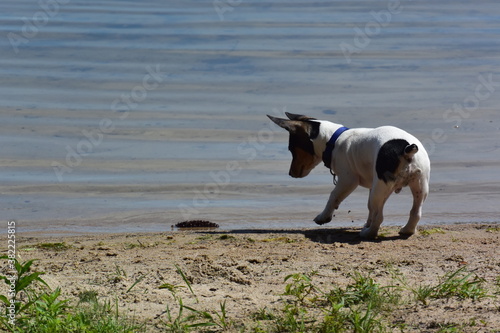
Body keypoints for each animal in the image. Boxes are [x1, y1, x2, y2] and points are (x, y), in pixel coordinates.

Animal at [270, 113, 430, 237]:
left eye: (291, 149)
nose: (290, 173)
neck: (333, 140)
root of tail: (407, 149)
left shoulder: (348, 181)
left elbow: (334, 197)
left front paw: (323, 217)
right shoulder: (372, 183)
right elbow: (369, 208)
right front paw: (366, 223)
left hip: (380, 189)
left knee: (379, 216)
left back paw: (368, 233)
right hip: (419, 185)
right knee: (415, 212)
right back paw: (406, 230)